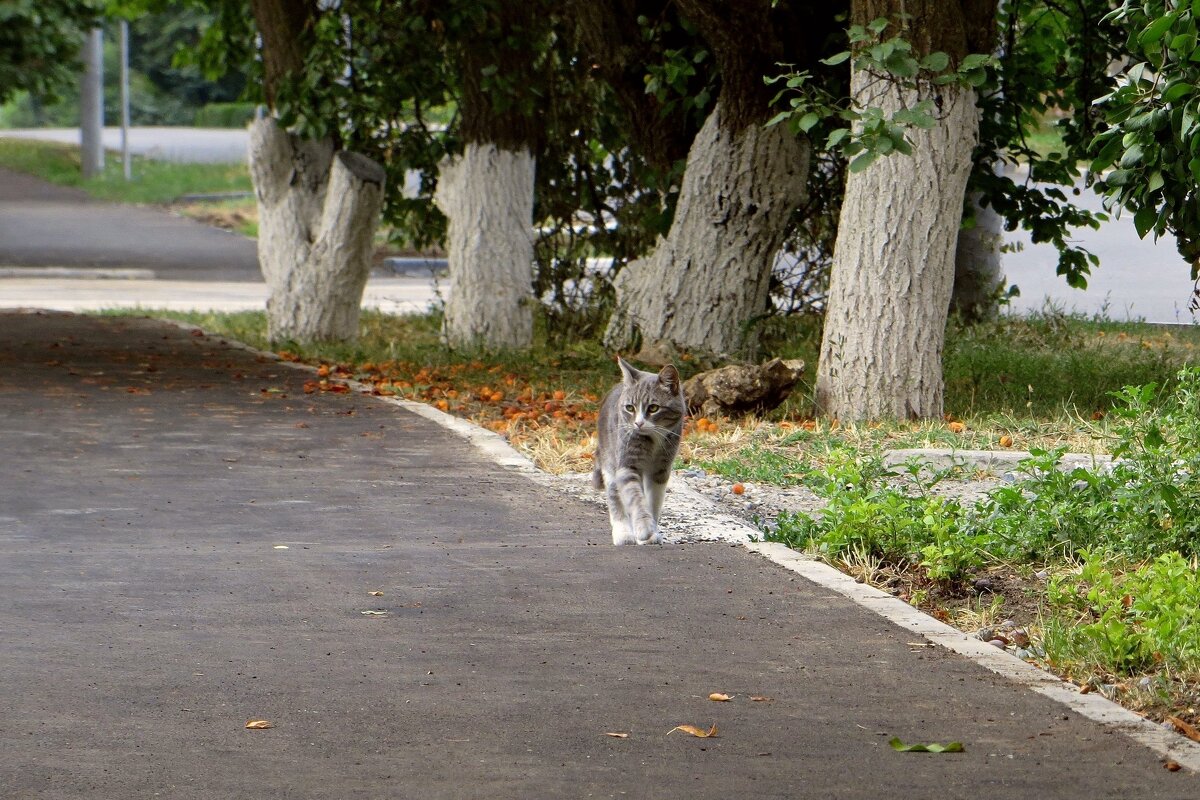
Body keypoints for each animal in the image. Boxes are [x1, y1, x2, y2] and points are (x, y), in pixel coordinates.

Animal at [592, 359, 686, 546]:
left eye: (654, 408)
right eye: (630, 408)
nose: (638, 423)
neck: (654, 439)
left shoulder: (660, 470)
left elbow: (652, 502)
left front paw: (653, 532)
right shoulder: (627, 466)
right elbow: (635, 498)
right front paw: (644, 528)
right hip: (609, 461)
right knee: (615, 498)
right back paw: (623, 533)